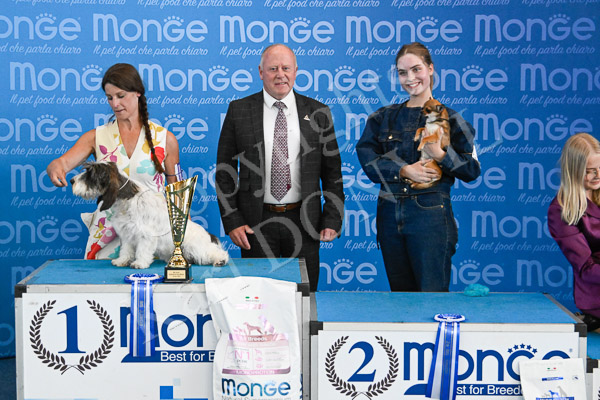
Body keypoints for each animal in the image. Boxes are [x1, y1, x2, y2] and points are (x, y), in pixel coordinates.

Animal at [70, 161, 229, 269]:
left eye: (90, 174)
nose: (72, 181)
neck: (125, 200)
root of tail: (209, 236)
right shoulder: (127, 234)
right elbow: (126, 250)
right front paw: (122, 261)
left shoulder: (146, 235)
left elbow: (142, 250)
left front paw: (139, 263)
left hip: (195, 247)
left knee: (215, 253)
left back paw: (220, 260)